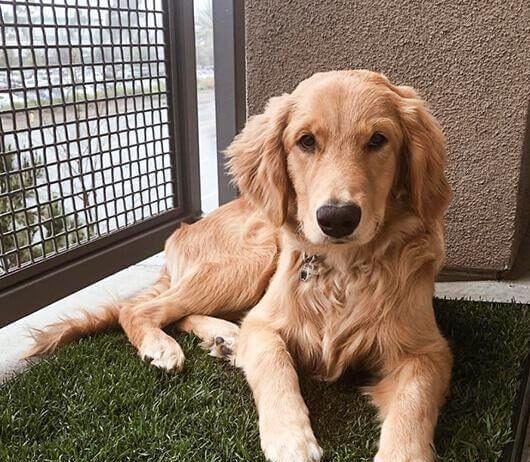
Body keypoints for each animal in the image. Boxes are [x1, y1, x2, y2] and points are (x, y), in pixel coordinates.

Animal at [27, 69, 450, 462]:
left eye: (378, 140)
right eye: (306, 141)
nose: (337, 218)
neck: (342, 272)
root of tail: (185, 228)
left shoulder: (427, 351)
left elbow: (413, 406)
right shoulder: (265, 323)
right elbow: (276, 364)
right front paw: (291, 438)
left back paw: (224, 337)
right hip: (253, 259)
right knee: (138, 309)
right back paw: (164, 346)